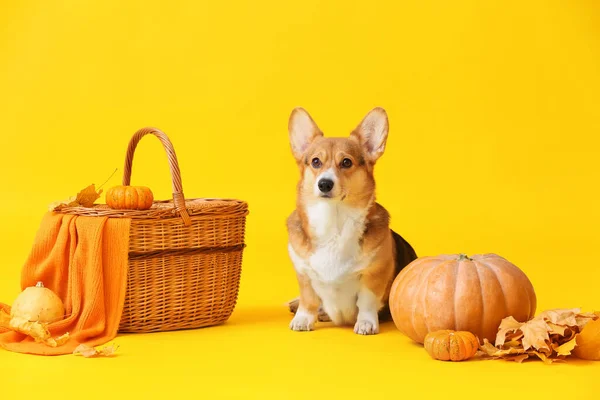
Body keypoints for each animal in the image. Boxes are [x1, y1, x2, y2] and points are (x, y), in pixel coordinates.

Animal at [286, 106, 418, 334]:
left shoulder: (375, 273)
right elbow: (308, 299)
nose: (324, 184)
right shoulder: (303, 273)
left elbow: (366, 301)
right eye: (315, 162)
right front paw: (303, 319)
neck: (333, 221)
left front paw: (366, 323)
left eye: (346, 162)